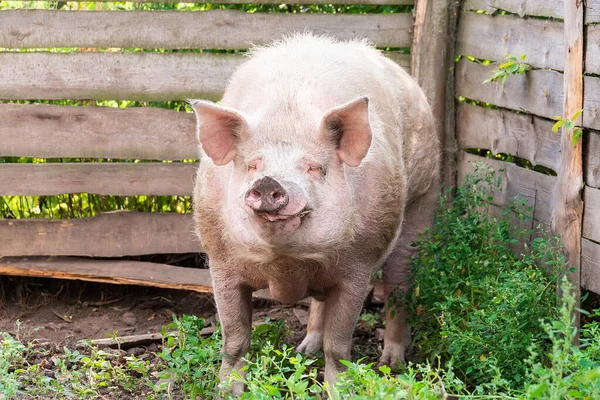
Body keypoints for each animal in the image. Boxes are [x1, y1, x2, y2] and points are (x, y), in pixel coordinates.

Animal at [192, 32, 440, 394]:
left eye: (313, 167)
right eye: (253, 165)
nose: (268, 182)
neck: (287, 263)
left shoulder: (357, 266)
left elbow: (338, 348)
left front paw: (340, 392)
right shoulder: (220, 260)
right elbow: (234, 341)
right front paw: (225, 393)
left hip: (423, 196)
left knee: (398, 287)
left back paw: (393, 362)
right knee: (319, 302)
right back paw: (304, 349)